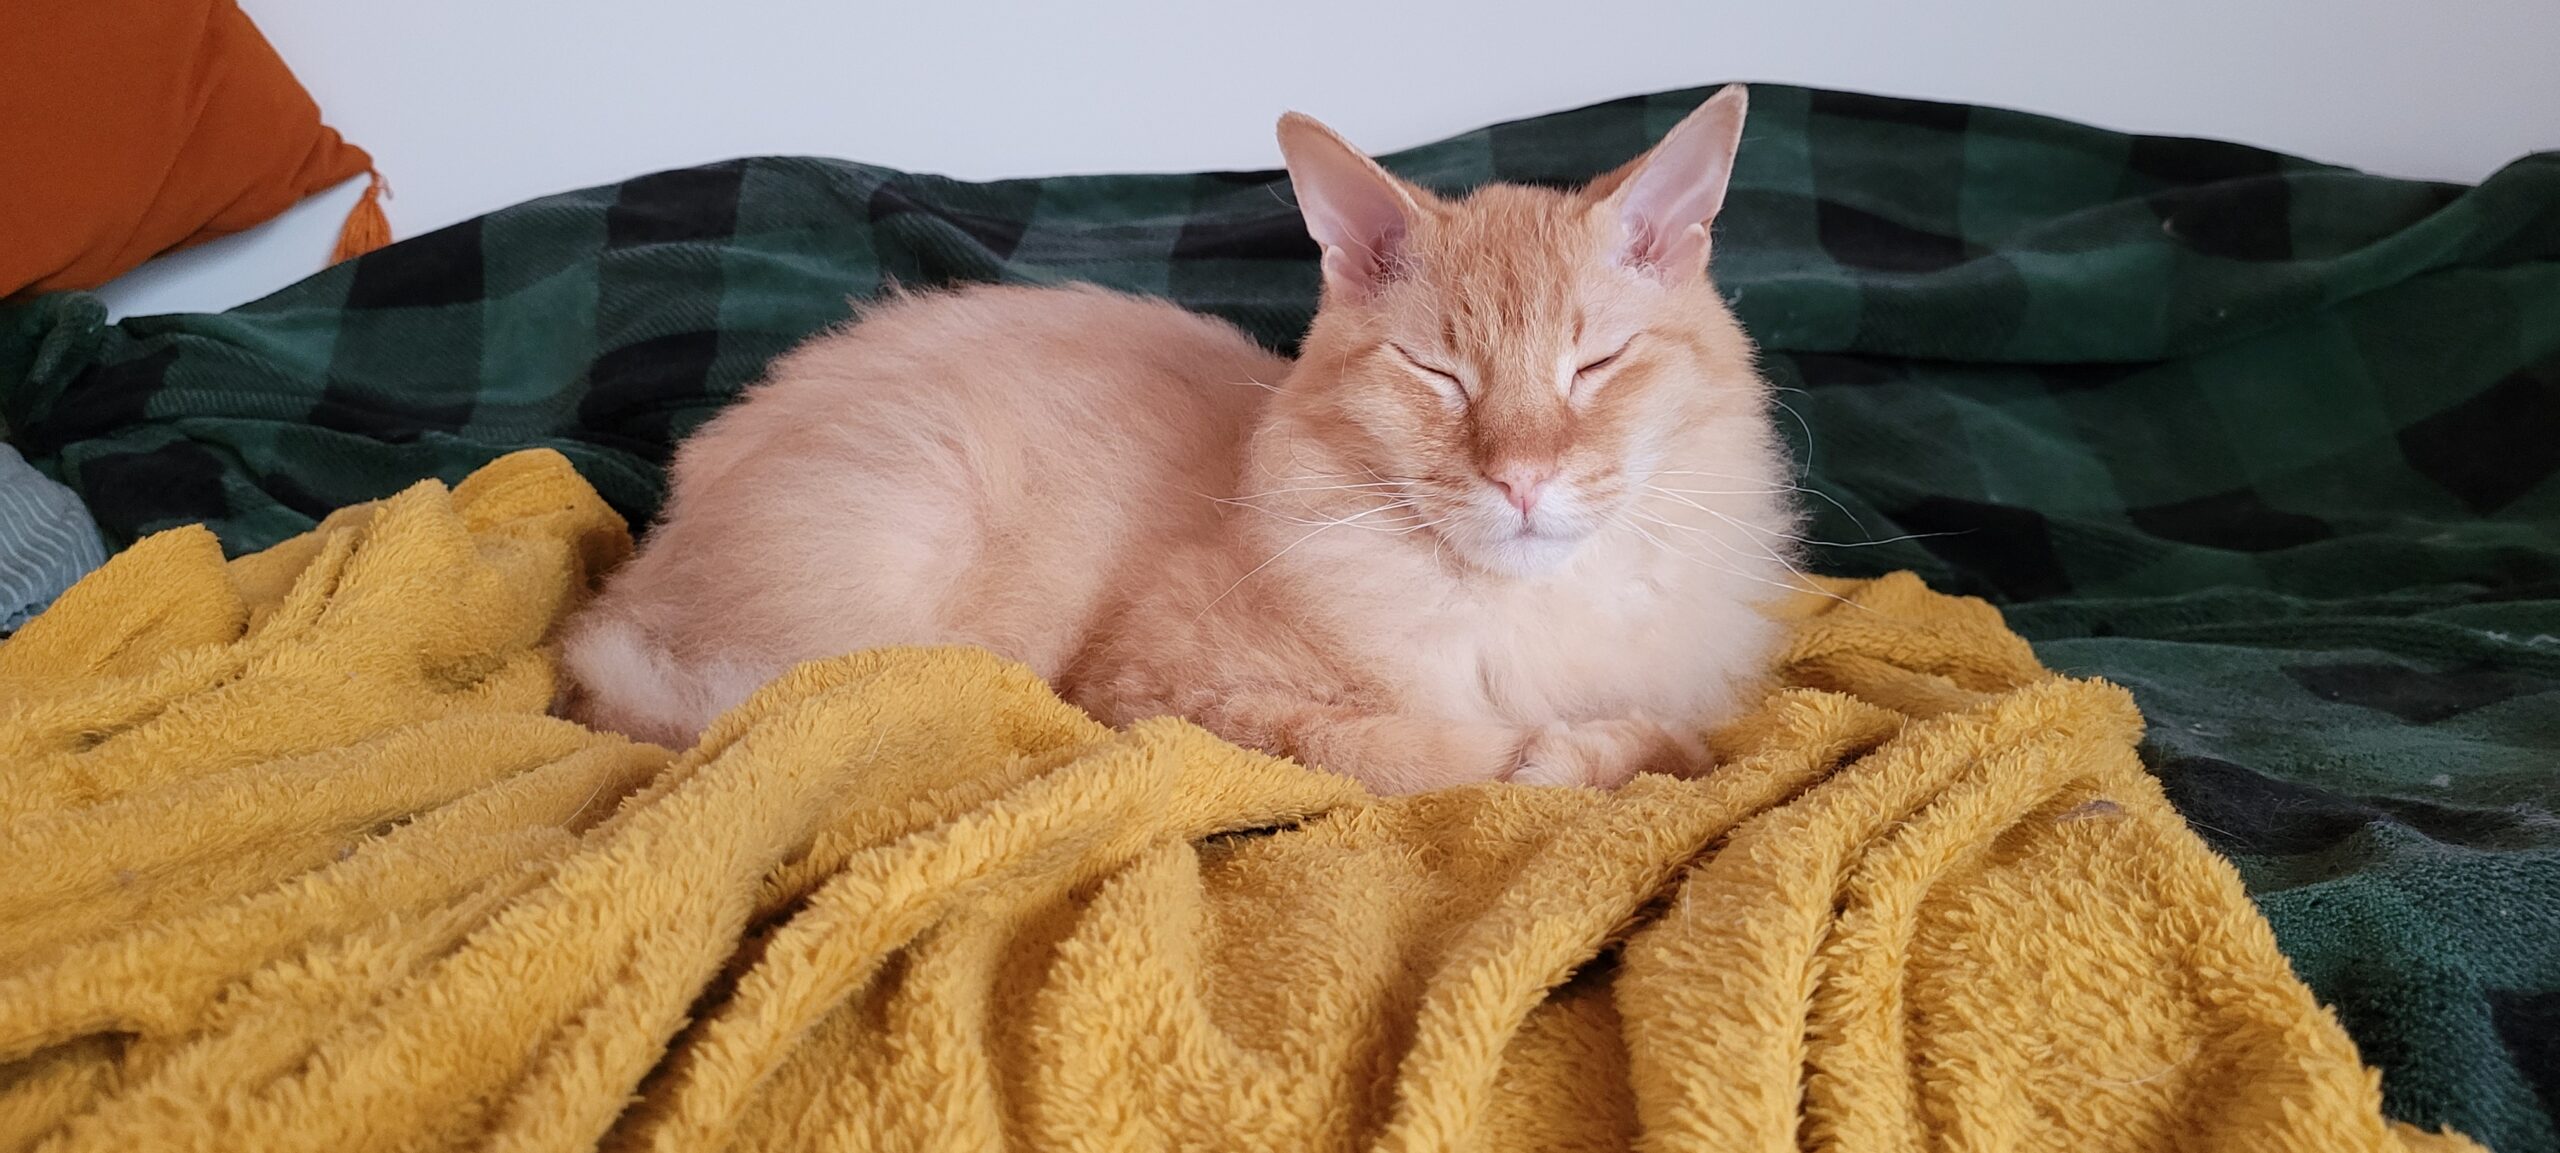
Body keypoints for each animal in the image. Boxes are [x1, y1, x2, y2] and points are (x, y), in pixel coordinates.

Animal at [560, 85, 1802, 794]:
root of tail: (631, 591)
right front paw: (1541, 756)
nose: (1523, 479)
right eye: (1438, 376)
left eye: (1593, 365)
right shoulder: (1166, 695)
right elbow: (1412, 751)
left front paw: (1605, 746)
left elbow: (1681, 750)